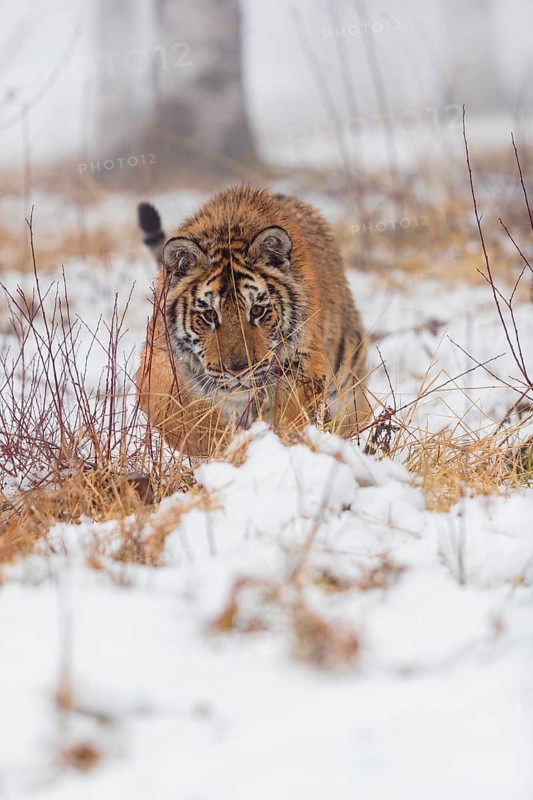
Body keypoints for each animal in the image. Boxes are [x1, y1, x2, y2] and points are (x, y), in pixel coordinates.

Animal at [136, 185, 372, 456]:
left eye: (257, 311)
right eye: (209, 315)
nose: (238, 369)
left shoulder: (303, 360)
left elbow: (291, 412)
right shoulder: (159, 355)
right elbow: (179, 413)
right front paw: (218, 448)